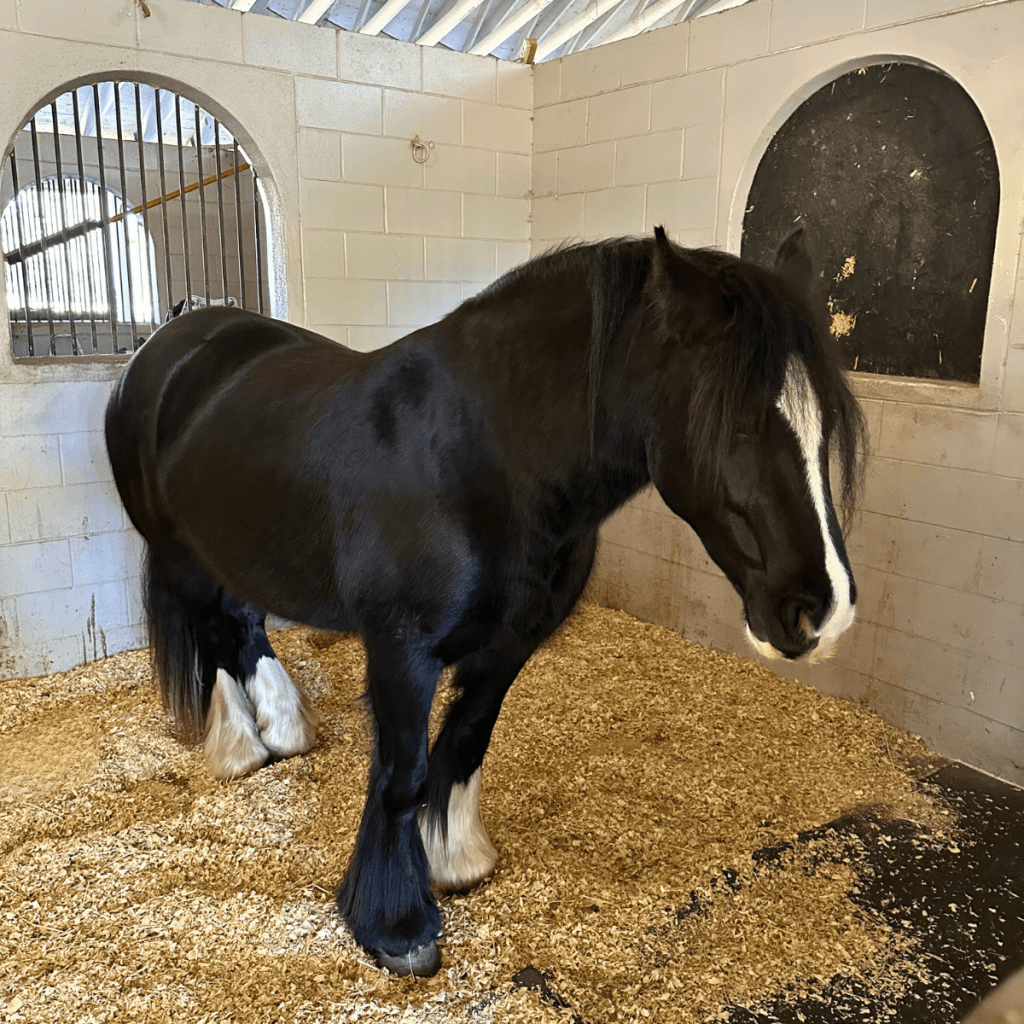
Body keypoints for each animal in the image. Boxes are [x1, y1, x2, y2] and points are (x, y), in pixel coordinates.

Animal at [104, 225, 865, 978]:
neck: (482, 460)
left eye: (825, 425)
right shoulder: (403, 651)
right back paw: (240, 747)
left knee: (241, 621)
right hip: (183, 554)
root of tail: (174, 340)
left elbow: (467, 741)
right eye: (735, 424)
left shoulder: (510, 644)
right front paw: (396, 923)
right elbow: (403, 774)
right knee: (215, 630)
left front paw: (455, 858)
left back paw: (285, 729)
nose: (821, 611)